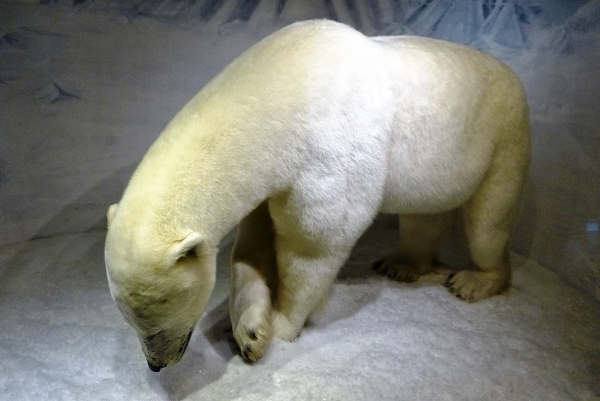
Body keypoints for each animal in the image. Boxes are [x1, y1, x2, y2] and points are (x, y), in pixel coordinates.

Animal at [103, 18, 528, 368]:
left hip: (503, 136)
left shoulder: (325, 151)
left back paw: (474, 281)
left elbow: (313, 246)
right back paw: (403, 264)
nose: (157, 364)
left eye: (157, 316)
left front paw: (278, 326)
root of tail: (511, 73)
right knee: (423, 217)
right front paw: (249, 330)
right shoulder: (271, 175)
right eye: (127, 316)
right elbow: (251, 249)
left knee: (488, 221)